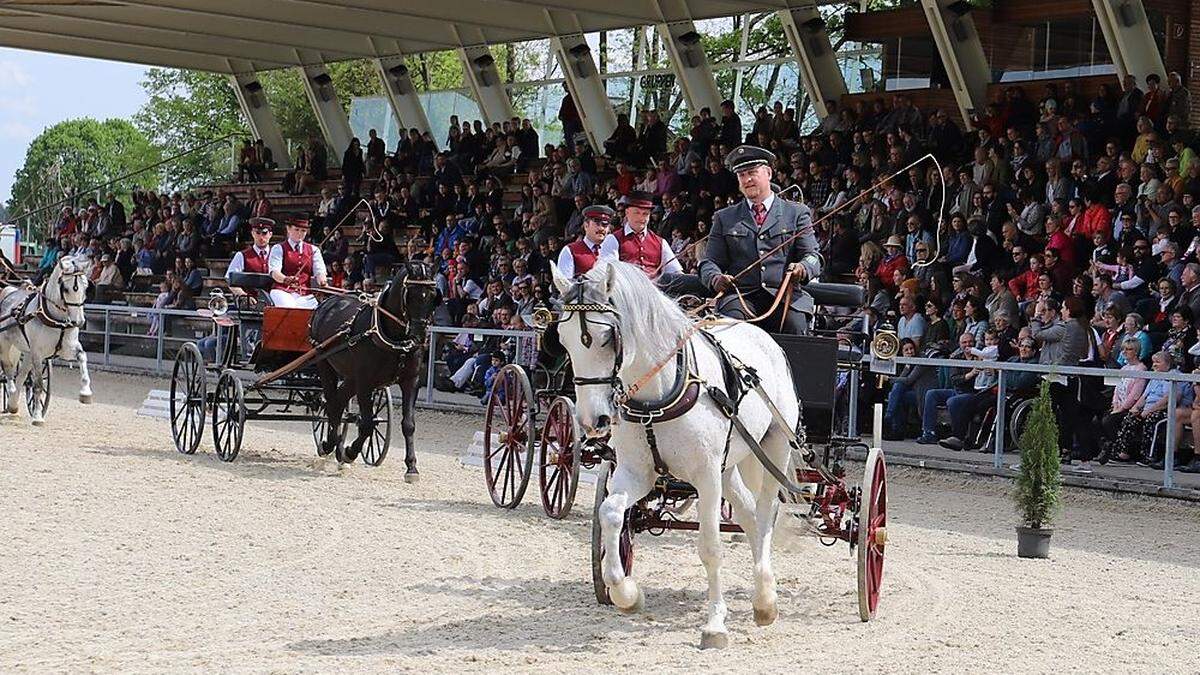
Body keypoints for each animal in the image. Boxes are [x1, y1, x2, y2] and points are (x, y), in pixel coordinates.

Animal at [0, 254, 93, 422]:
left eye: (86, 287)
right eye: (66, 289)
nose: (78, 321)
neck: (57, 319)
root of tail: (8, 292)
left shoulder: (68, 348)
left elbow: (82, 357)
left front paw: (85, 393)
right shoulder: (38, 354)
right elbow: (37, 385)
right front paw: (37, 416)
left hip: (26, 351)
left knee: (22, 375)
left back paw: (13, 404)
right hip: (6, 345)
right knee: (9, 370)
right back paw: (11, 393)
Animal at [309, 260, 441, 475]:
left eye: (432, 295)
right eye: (410, 295)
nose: (420, 335)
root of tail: (328, 302)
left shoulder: (410, 381)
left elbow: (408, 424)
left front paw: (411, 467)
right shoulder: (365, 381)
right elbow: (367, 424)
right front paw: (351, 452)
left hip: (351, 376)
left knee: (338, 403)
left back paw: (335, 447)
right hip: (325, 364)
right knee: (331, 402)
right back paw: (330, 446)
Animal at [549, 258, 796, 648]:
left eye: (607, 338)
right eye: (563, 339)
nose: (592, 420)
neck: (658, 395)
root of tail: (761, 335)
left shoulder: (706, 477)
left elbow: (710, 546)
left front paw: (715, 624)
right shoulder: (636, 473)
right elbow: (611, 514)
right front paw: (626, 593)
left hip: (774, 451)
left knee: (765, 514)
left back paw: (765, 599)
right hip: (728, 466)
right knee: (748, 515)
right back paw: (763, 596)